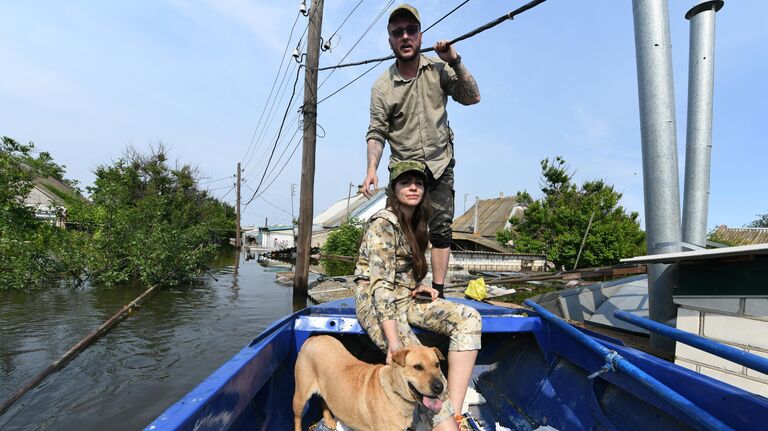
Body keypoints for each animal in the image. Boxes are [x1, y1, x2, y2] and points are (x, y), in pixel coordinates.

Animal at [294, 338, 450, 431]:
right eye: (418, 367)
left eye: (437, 365)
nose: (440, 387)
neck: (394, 393)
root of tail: (313, 338)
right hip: (300, 397)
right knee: (297, 418)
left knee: (324, 401)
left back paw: (329, 421)